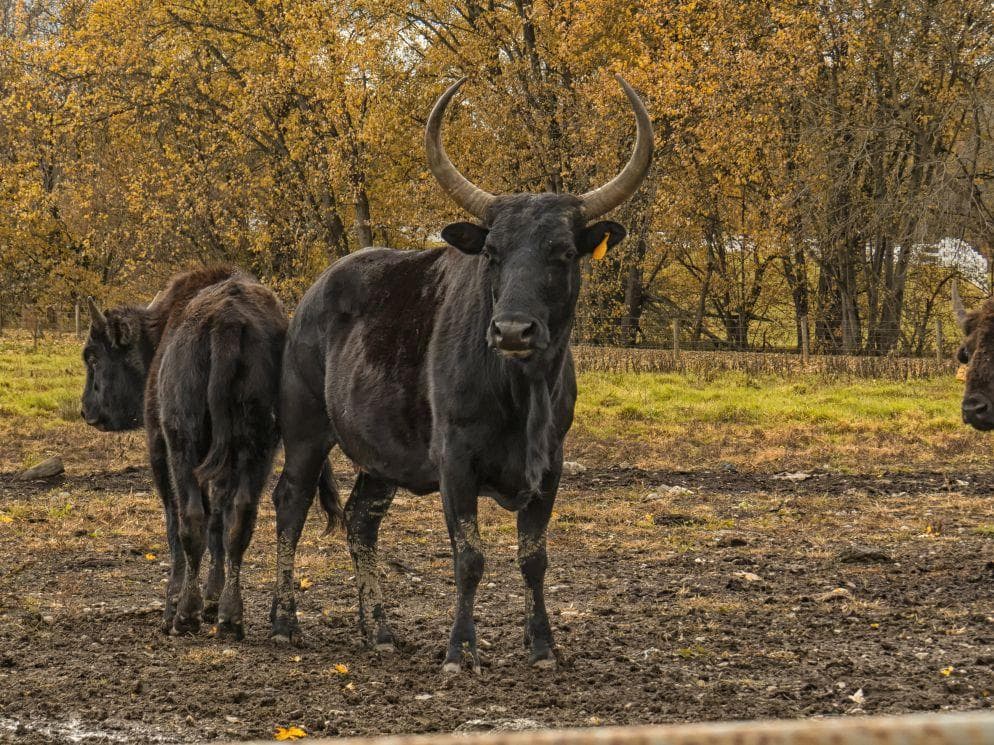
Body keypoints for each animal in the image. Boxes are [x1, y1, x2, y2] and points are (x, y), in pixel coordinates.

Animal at [81, 266, 342, 640]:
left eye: (93, 355)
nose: (87, 410)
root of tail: (226, 321)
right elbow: (219, 521)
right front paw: (212, 600)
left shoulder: (159, 446)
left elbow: (176, 523)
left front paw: (175, 603)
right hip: (257, 446)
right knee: (239, 518)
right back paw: (231, 617)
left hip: (183, 442)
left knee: (190, 519)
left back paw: (184, 616)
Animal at [268, 74, 653, 672]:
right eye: (492, 252)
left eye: (564, 252)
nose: (513, 330)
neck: (521, 395)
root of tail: (312, 296)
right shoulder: (455, 462)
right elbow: (469, 557)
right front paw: (459, 650)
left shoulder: (551, 466)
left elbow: (533, 558)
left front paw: (542, 646)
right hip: (306, 428)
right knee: (291, 503)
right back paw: (284, 623)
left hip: (381, 456)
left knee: (361, 520)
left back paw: (378, 630)